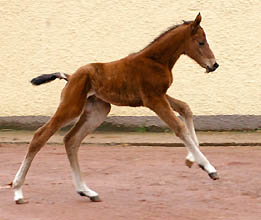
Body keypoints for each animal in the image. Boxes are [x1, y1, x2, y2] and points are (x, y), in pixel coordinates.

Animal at [12, 12, 219, 204]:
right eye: (201, 42)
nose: (214, 64)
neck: (156, 60)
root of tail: (70, 77)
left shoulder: (159, 95)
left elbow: (185, 108)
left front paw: (192, 160)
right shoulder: (153, 99)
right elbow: (179, 127)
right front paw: (208, 167)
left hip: (98, 110)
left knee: (71, 140)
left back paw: (86, 191)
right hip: (71, 107)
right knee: (40, 136)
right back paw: (18, 191)